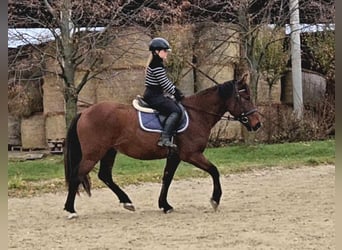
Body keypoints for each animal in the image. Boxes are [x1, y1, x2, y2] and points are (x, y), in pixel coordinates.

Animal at [64, 74, 260, 219]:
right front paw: (215, 200)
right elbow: (214, 171)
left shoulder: (175, 156)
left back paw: (127, 202)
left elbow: (167, 178)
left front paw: (165, 205)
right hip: (93, 154)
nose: (257, 124)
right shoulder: (191, 154)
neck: (196, 114)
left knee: (105, 175)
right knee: (76, 175)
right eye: (246, 97)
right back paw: (70, 210)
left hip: (109, 152)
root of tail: (85, 113)